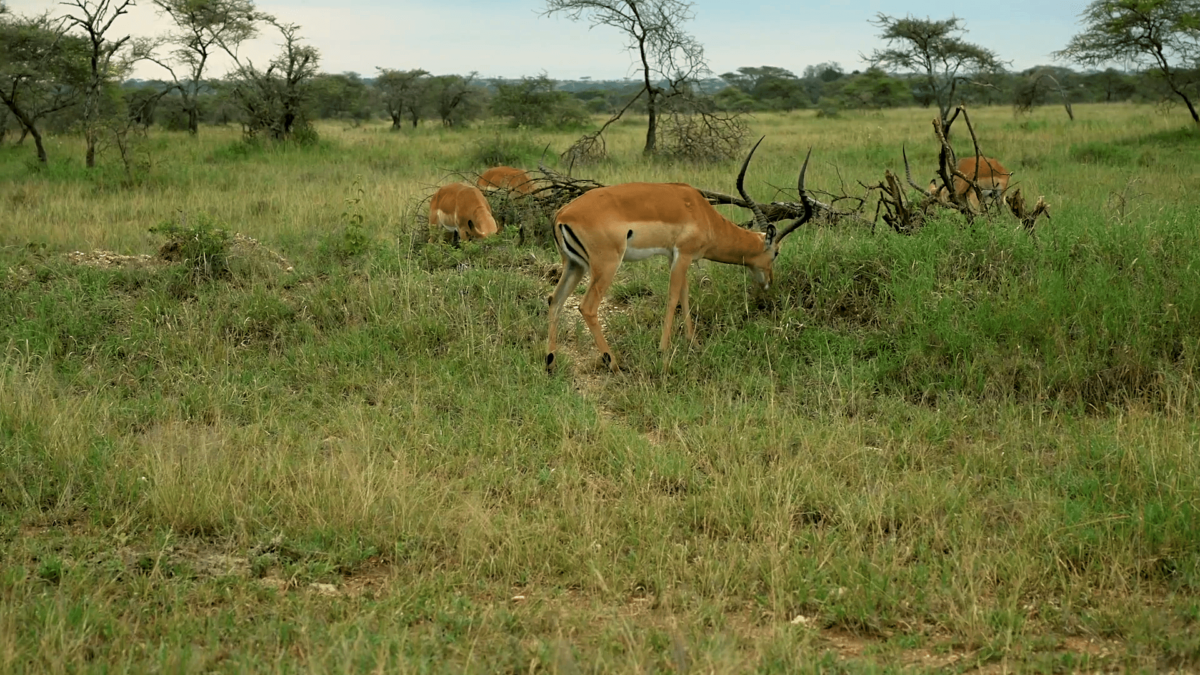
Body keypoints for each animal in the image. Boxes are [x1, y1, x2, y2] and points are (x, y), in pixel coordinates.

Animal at [546, 139, 813, 372]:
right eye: (776, 253)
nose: (769, 282)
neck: (701, 211)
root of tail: (562, 214)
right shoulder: (683, 255)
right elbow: (673, 298)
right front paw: (663, 351)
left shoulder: (676, 258)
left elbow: (685, 295)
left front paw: (693, 343)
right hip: (606, 266)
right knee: (587, 307)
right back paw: (614, 363)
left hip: (574, 265)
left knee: (555, 300)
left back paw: (551, 362)